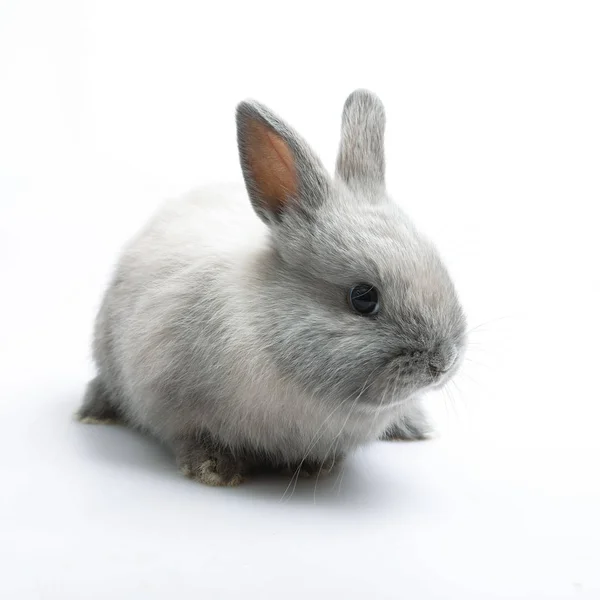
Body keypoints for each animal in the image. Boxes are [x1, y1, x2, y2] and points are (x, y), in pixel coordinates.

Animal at [77, 89, 466, 486]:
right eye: (363, 298)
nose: (443, 363)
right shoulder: (170, 397)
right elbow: (191, 435)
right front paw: (213, 470)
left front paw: (315, 467)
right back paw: (94, 412)